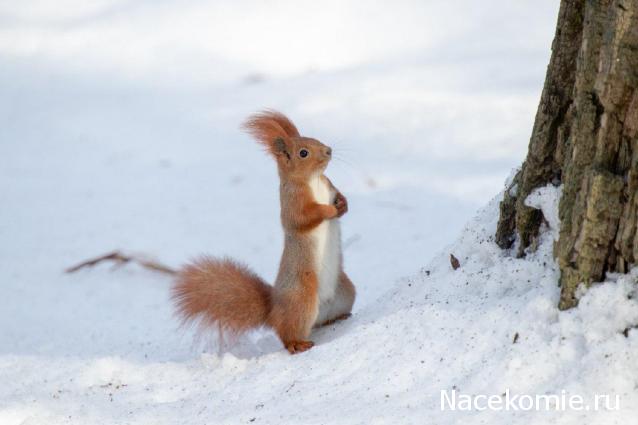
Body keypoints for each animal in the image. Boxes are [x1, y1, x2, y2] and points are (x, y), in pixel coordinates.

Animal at [172, 108, 358, 352]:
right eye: (303, 153)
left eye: (314, 138)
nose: (329, 150)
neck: (314, 180)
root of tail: (273, 312)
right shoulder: (293, 204)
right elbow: (303, 218)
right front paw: (329, 210)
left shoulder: (330, 186)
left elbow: (339, 195)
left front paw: (343, 205)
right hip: (302, 300)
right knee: (287, 333)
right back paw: (297, 344)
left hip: (345, 291)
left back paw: (336, 318)